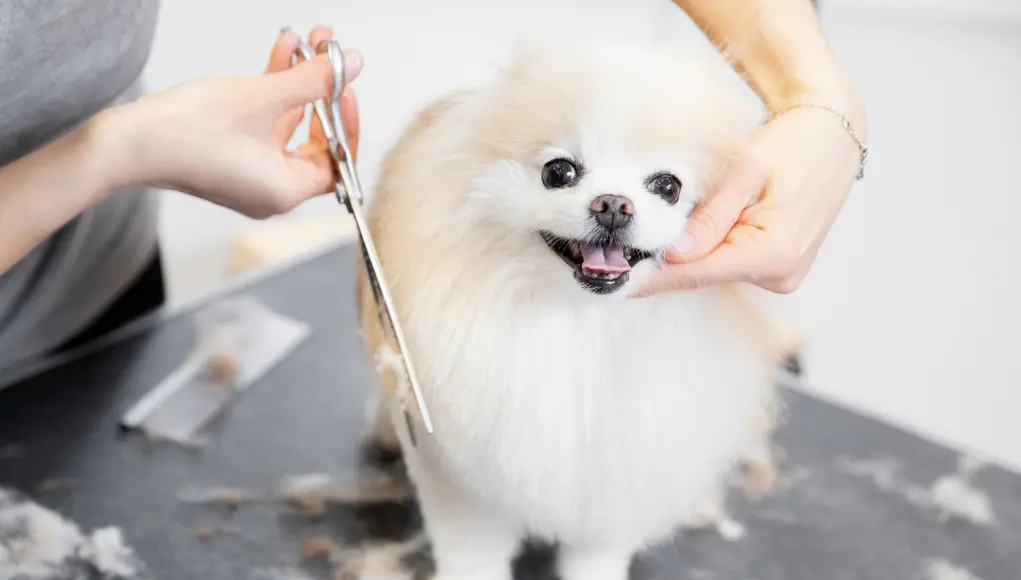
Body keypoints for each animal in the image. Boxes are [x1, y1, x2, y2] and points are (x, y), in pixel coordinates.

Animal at [357, 38, 796, 575]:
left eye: (668, 186)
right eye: (559, 171)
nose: (614, 204)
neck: (584, 324)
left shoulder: (620, 476)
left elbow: (597, 553)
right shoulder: (460, 473)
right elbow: (472, 549)